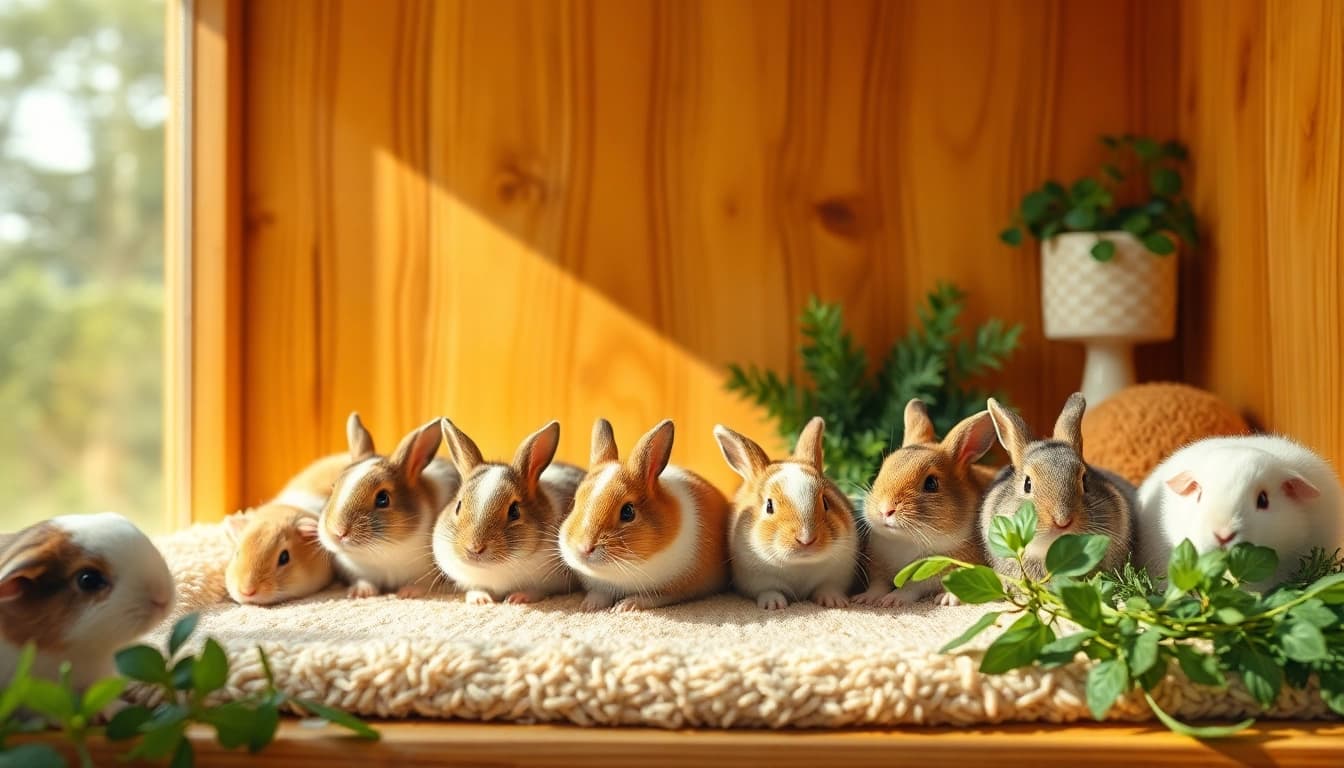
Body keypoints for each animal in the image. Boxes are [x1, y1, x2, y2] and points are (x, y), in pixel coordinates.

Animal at [318, 412, 460, 598]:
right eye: (333, 488)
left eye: (383, 498)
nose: (338, 532)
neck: (383, 552)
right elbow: (364, 580)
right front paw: (361, 592)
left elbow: (422, 584)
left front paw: (408, 592)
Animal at [433, 419, 582, 605]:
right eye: (458, 506)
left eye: (514, 511)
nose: (474, 548)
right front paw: (480, 599)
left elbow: (537, 591)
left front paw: (517, 598)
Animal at [559, 419, 730, 612]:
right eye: (575, 502)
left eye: (628, 512)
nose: (584, 548)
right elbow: (600, 593)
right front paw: (588, 606)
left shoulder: (673, 591)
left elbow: (651, 598)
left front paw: (625, 606)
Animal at [714, 417, 859, 610]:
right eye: (769, 506)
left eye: (826, 502)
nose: (806, 539)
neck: (800, 564)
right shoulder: (756, 579)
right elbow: (769, 590)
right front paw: (774, 605)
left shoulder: (837, 575)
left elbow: (828, 587)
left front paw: (834, 601)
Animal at [854, 400, 999, 607]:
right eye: (882, 470)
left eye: (931, 483)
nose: (885, 510)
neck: (905, 542)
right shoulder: (878, 569)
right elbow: (878, 585)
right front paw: (866, 598)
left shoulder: (930, 574)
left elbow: (911, 588)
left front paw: (892, 600)